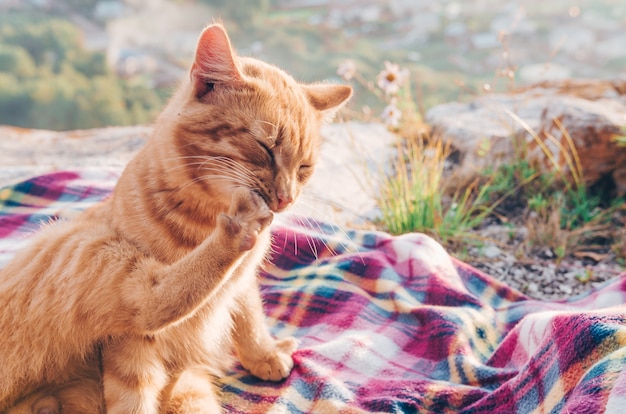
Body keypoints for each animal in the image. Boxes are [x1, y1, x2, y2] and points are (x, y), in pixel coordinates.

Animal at [0, 24, 348, 412]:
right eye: (265, 147)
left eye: (305, 167)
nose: (286, 198)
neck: (207, 218)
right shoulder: (129, 345)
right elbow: (133, 395)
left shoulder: (242, 285)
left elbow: (249, 317)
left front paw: (264, 354)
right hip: (80, 249)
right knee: (149, 301)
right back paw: (238, 229)